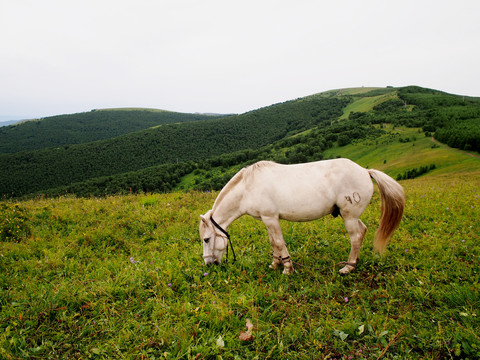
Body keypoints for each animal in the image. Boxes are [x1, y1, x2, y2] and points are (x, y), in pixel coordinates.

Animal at [199, 159, 404, 274]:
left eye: (206, 239)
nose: (208, 264)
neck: (248, 187)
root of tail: (365, 171)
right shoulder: (267, 219)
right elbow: (273, 242)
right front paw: (275, 264)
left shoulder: (271, 218)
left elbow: (279, 242)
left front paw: (287, 268)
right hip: (351, 216)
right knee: (363, 231)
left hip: (349, 217)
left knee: (356, 237)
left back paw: (348, 267)